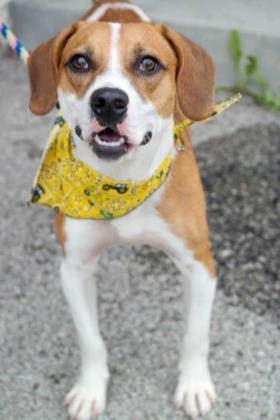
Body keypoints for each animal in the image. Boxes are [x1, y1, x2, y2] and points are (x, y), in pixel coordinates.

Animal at [27, 1, 218, 418]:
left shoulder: (199, 263)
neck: (122, 184)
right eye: (79, 61)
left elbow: (195, 335)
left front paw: (194, 385)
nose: (109, 101)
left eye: (148, 64)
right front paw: (90, 390)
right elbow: (90, 340)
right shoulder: (75, 268)